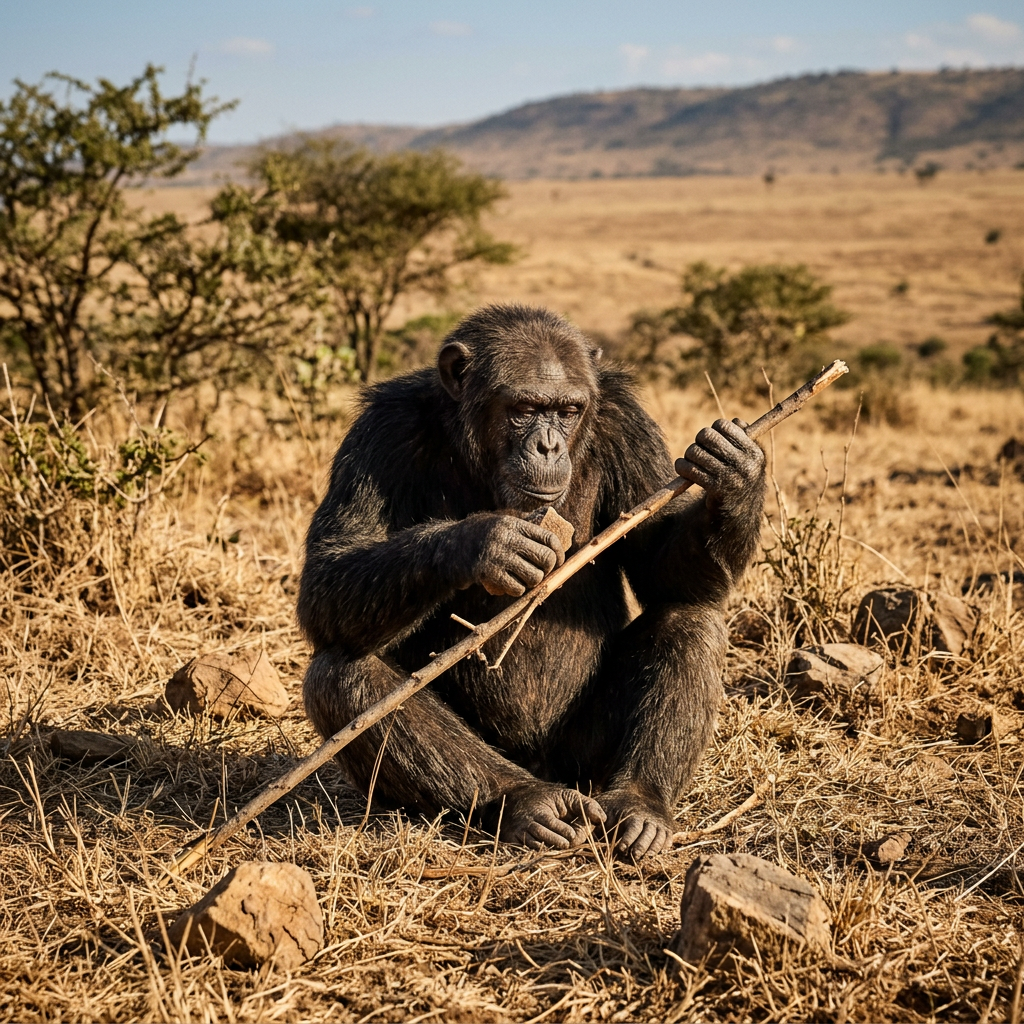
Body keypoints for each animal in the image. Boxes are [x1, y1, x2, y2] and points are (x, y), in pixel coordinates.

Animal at [298, 304, 765, 859]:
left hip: (581, 762)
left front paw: (734, 470)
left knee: (689, 620)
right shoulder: (380, 431)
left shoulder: (627, 423)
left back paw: (640, 803)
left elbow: (660, 564)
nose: (547, 445)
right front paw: (488, 542)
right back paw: (527, 801)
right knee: (341, 674)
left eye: (567, 411)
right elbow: (328, 574)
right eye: (523, 407)